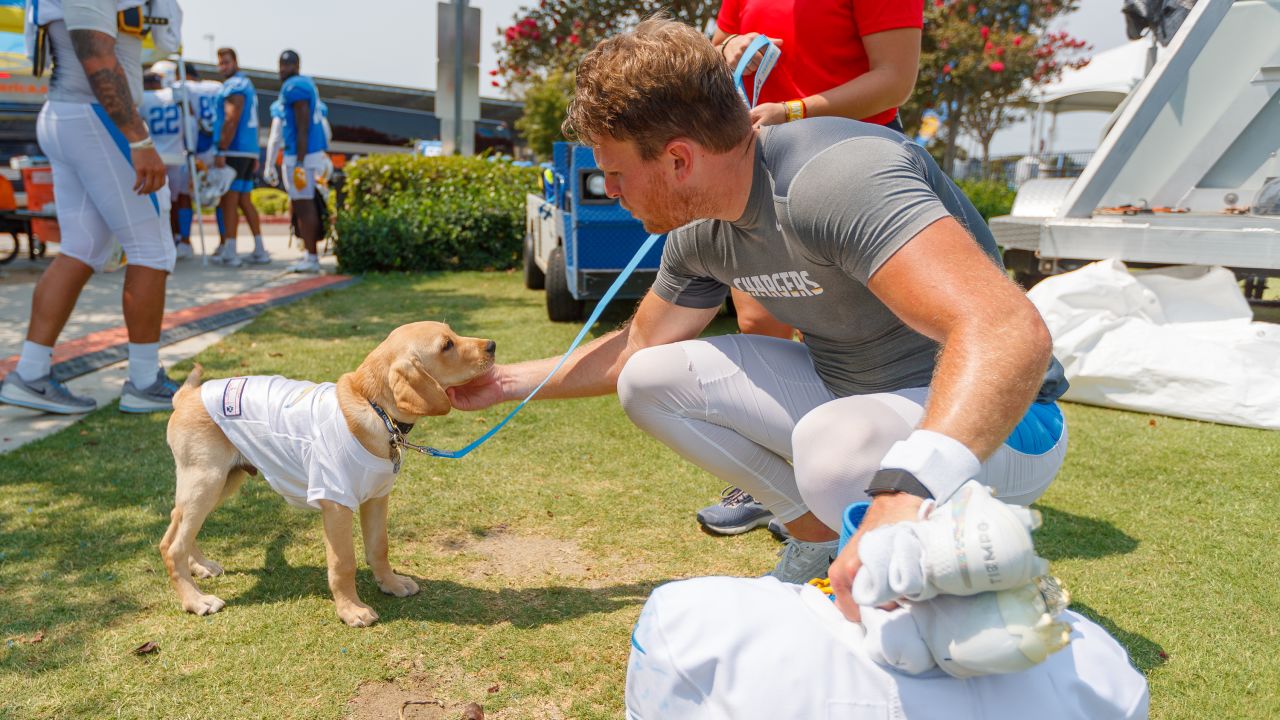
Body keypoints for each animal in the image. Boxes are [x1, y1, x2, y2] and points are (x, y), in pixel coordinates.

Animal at [158, 322, 494, 625]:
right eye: (446, 345)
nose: (491, 345)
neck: (374, 408)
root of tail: (186, 396)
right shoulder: (336, 503)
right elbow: (344, 563)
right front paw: (351, 610)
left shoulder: (377, 496)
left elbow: (379, 547)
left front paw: (391, 584)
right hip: (207, 480)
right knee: (172, 546)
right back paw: (196, 600)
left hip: (223, 480)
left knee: (175, 525)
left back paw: (200, 566)